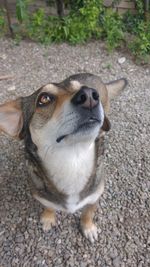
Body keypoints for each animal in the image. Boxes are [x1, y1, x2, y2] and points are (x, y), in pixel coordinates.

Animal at [0, 73, 127, 243]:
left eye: (81, 88)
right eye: (44, 98)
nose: (89, 95)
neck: (72, 161)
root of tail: (93, 75)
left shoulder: (95, 196)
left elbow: (88, 213)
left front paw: (88, 227)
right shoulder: (41, 196)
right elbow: (49, 206)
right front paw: (48, 218)